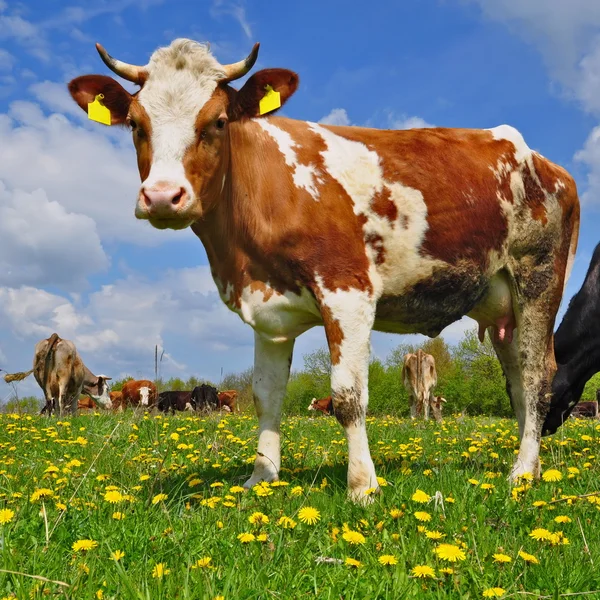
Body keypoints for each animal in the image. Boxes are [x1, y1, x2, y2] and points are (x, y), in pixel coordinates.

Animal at [68, 39, 580, 500]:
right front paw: (261, 477)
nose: (161, 196)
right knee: (517, 381)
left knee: (538, 377)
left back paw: (521, 473)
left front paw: (362, 486)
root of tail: (543, 161)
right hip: (502, 307)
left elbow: (348, 397)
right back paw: (528, 464)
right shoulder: (269, 311)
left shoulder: (347, 291)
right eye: (136, 124)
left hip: (538, 280)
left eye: (217, 121)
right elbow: (266, 394)